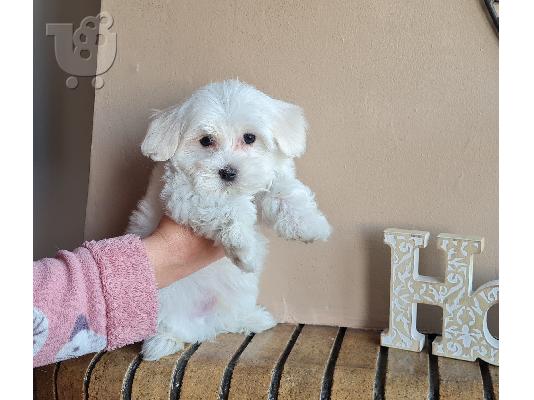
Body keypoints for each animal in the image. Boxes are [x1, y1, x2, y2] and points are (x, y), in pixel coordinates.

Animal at [127, 79, 332, 360]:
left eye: (250, 138)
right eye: (206, 141)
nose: (228, 172)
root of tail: (203, 326)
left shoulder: (266, 178)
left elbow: (283, 190)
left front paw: (309, 224)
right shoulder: (183, 193)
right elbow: (228, 207)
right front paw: (244, 247)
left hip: (238, 295)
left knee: (228, 318)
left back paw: (252, 319)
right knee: (169, 325)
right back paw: (162, 341)